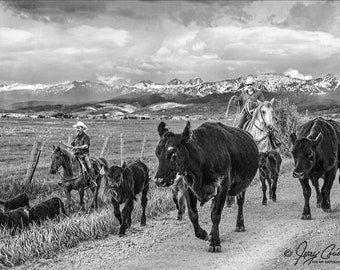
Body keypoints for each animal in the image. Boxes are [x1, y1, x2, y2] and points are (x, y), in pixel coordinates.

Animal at [155, 121, 258, 252]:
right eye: (157, 153)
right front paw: (203, 234)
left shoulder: (223, 187)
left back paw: (240, 225)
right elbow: (193, 214)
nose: (159, 180)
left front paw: (215, 242)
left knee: (240, 202)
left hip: (242, 185)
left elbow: (215, 215)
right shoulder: (188, 187)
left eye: (173, 153)